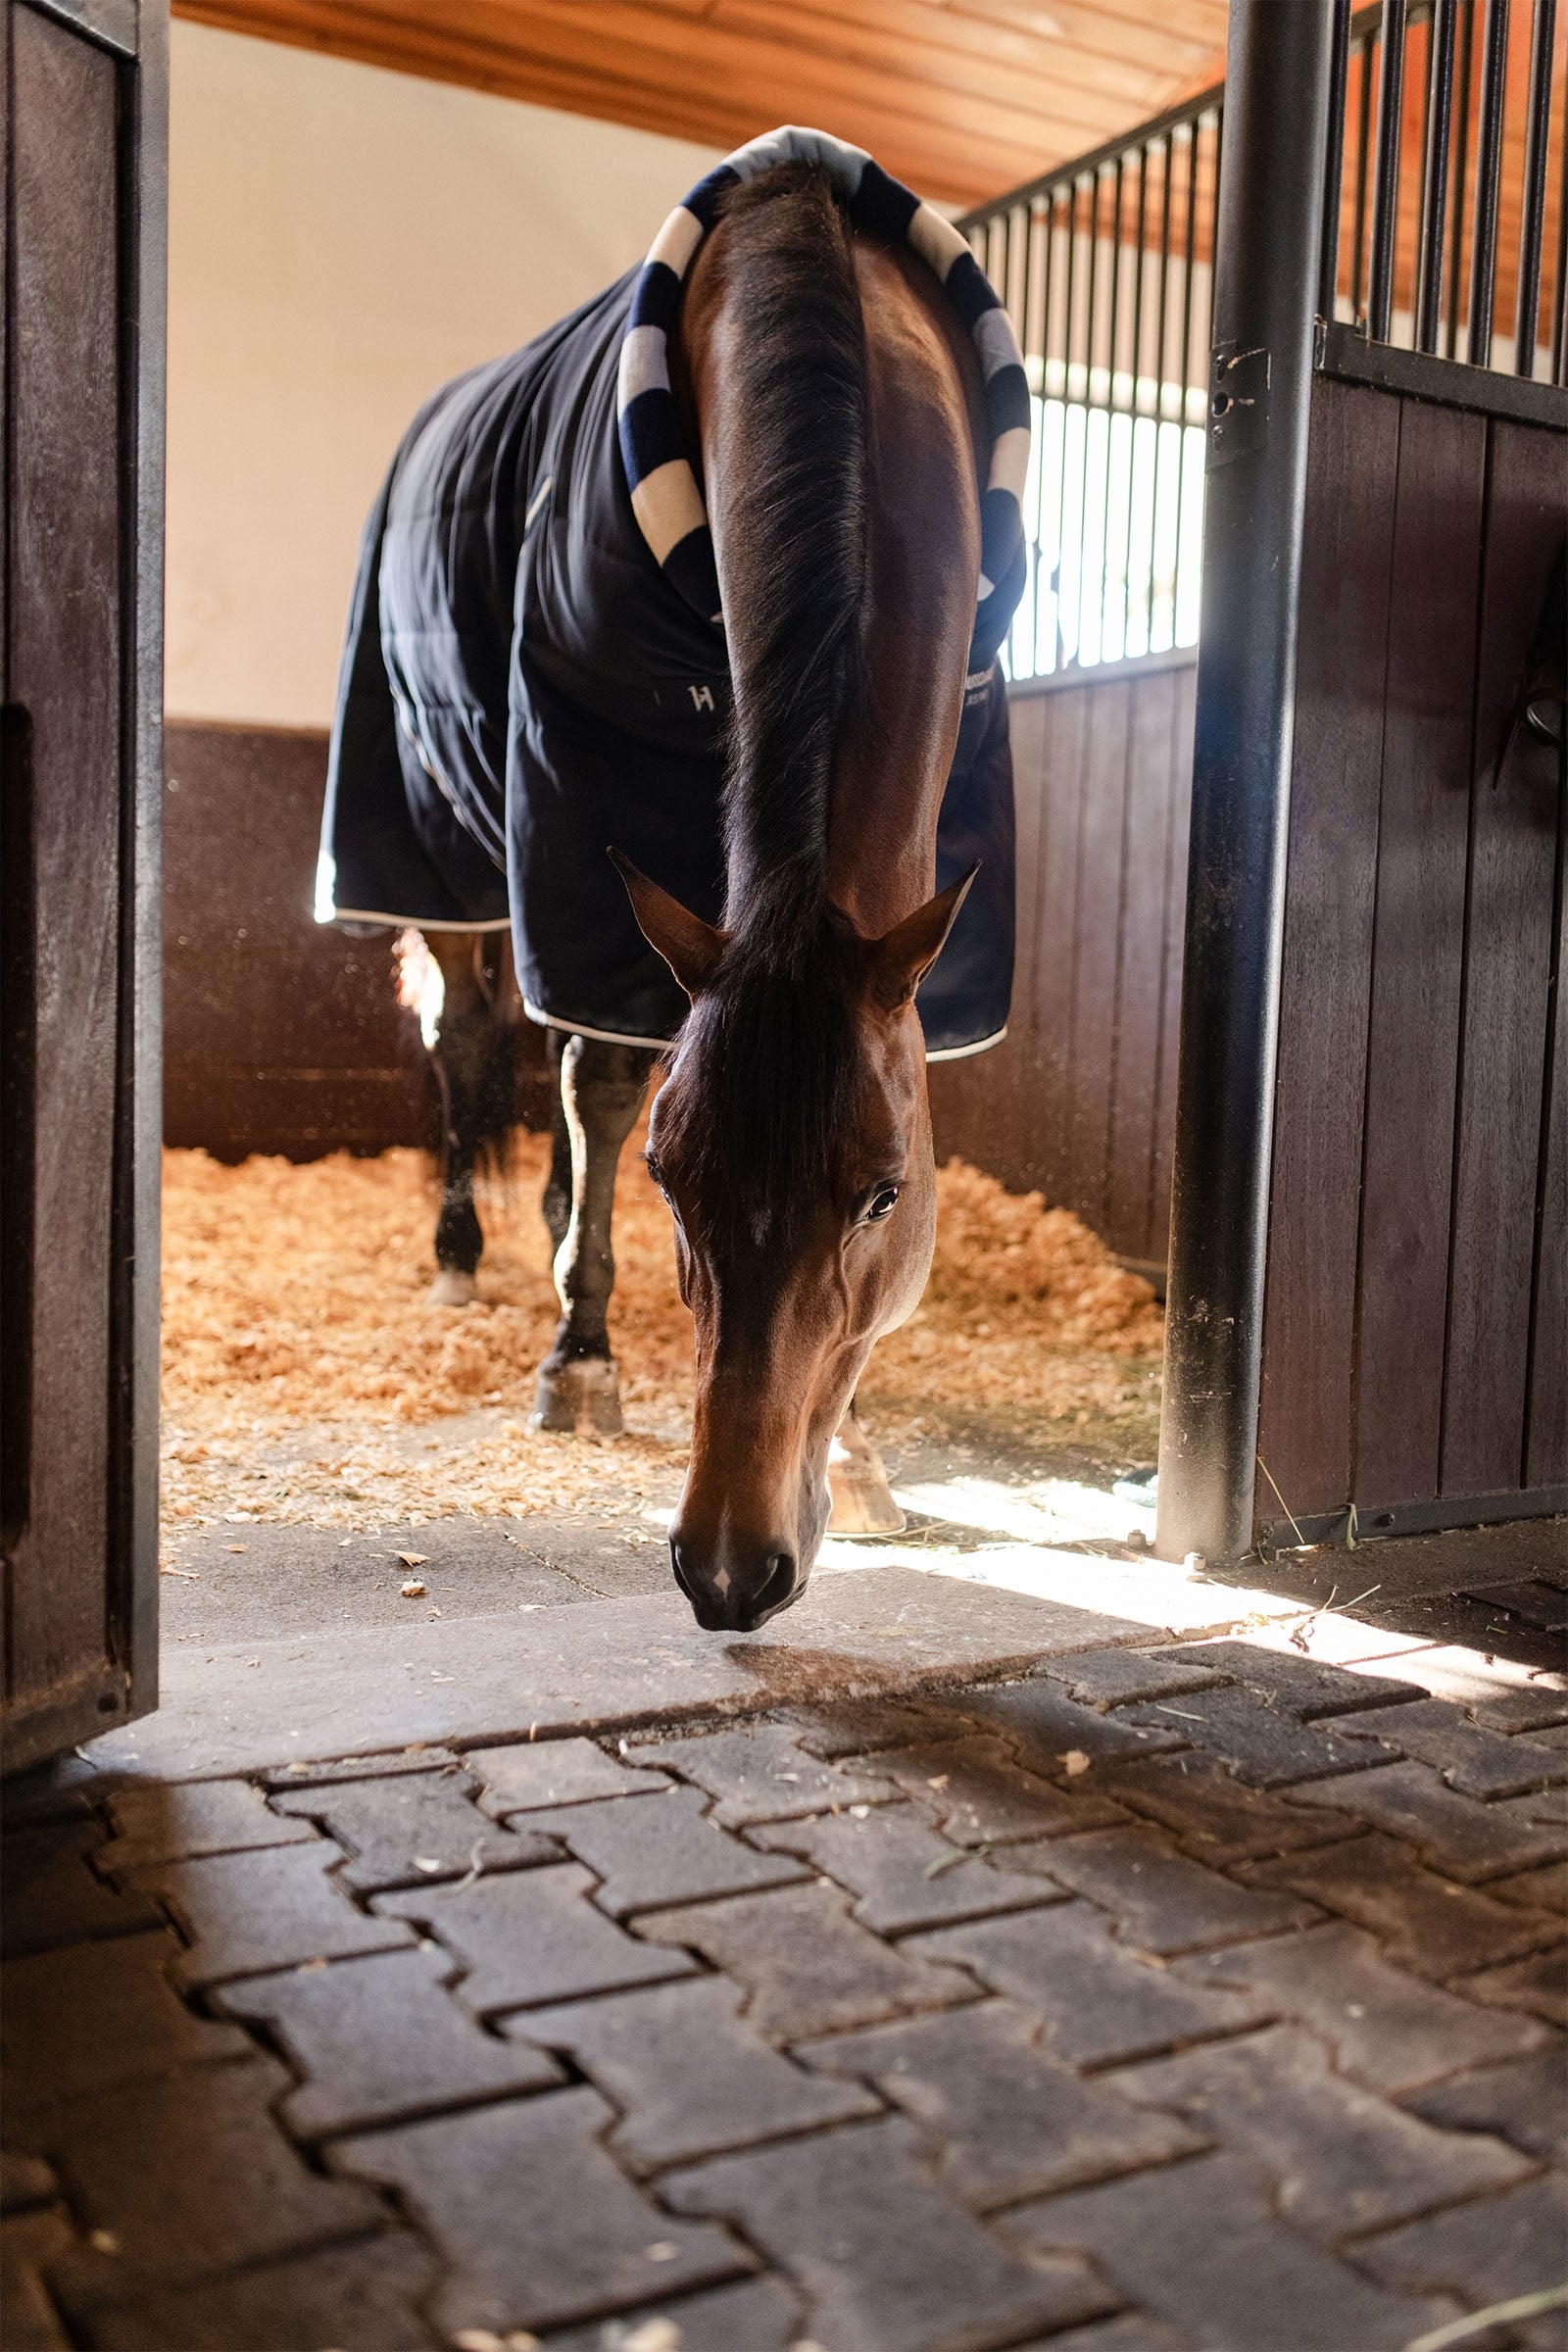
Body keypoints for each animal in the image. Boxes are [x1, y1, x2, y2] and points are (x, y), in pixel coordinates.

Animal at [319, 127, 1028, 1626]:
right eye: (672, 1179)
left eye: (885, 1192)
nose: (727, 1571)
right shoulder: (583, 797)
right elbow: (600, 1082)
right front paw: (579, 1360)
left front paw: (860, 1451)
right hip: (447, 847)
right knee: (471, 1041)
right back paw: (466, 1259)